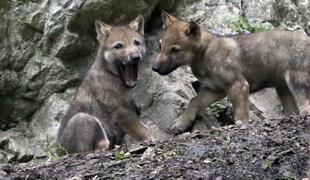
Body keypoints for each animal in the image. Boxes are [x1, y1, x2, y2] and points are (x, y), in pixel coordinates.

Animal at [57, 14, 154, 154]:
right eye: (118, 46)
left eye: (136, 43)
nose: (135, 57)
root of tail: (59, 152)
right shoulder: (121, 112)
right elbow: (142, 130)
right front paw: (151, 138)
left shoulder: (127, 107)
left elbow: (142, 126)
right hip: (84, 118)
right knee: (100, 147)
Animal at [153, 11, 310, 134]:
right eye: (160, 46)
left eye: (174, 50)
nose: (154, 68)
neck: (205, 53)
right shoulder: (214, 89)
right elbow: (194, 101)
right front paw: (181, 123)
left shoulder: (238, 86)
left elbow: (240, 114)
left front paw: (241, 125)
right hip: (283, 88)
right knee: (293, 111)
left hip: (295, 81)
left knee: (305, 108)